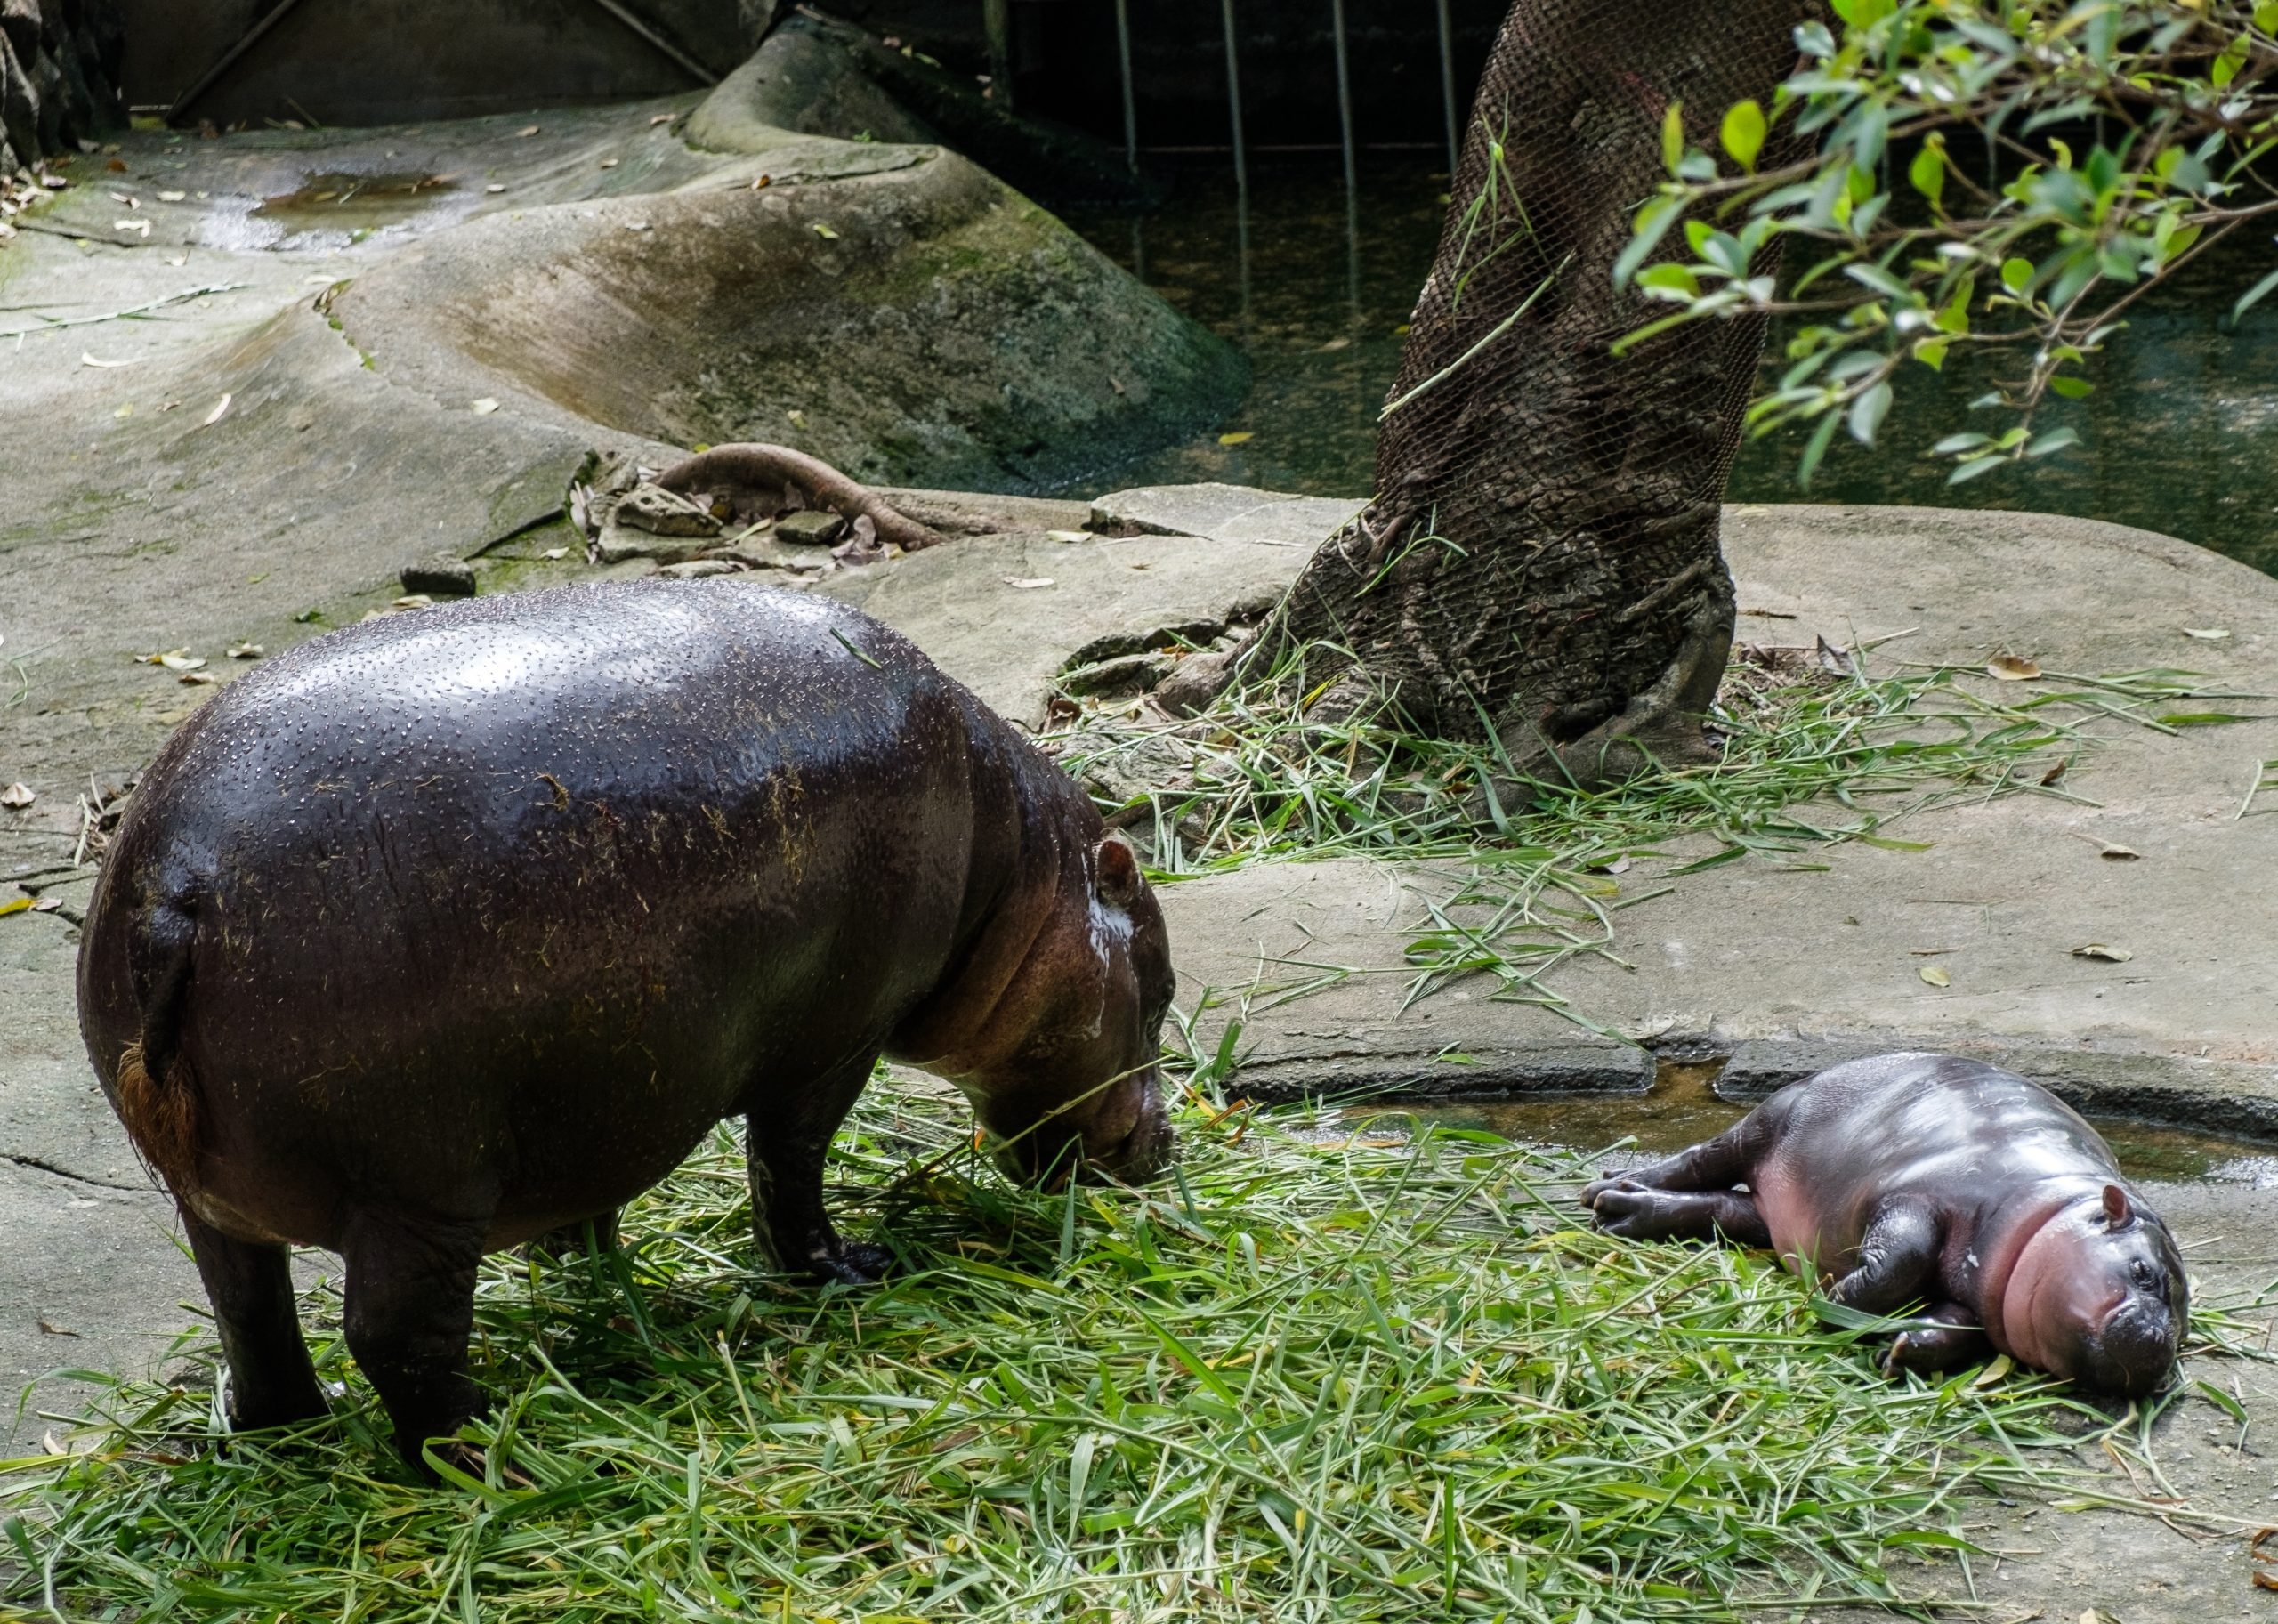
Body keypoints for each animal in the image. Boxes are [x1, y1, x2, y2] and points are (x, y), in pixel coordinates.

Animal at [76, 587, 1175, 1466]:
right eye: (1160, 986)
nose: (1164, 1149)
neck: (1019, 865)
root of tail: (179, 883)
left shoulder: (604, 1081)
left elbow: (596, 1190)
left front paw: (584, 1264)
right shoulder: (835, 1041)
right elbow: (788, 1166)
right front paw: (853, 1270)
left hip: (210, 1192)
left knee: (248, 1307)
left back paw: (288, 1425)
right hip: (421, 1184)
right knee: (395, 1334)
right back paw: (497, 1451)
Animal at [1585, 1052, 2186, 1394]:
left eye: (2183, 1327)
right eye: (2143, 1272)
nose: (2160, 1345)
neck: (2055, 1203)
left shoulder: (1973, 1299)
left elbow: (1956, 1324)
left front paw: (1899, 1347)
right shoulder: (1916, 1199)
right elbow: (1901, 1260)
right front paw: (1831, 1304)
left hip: (1770, 1215)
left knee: (1722, 1208)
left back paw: (1623, 1211)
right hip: (1765, 1124)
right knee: (1698, 1160)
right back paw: (1608, 1192)